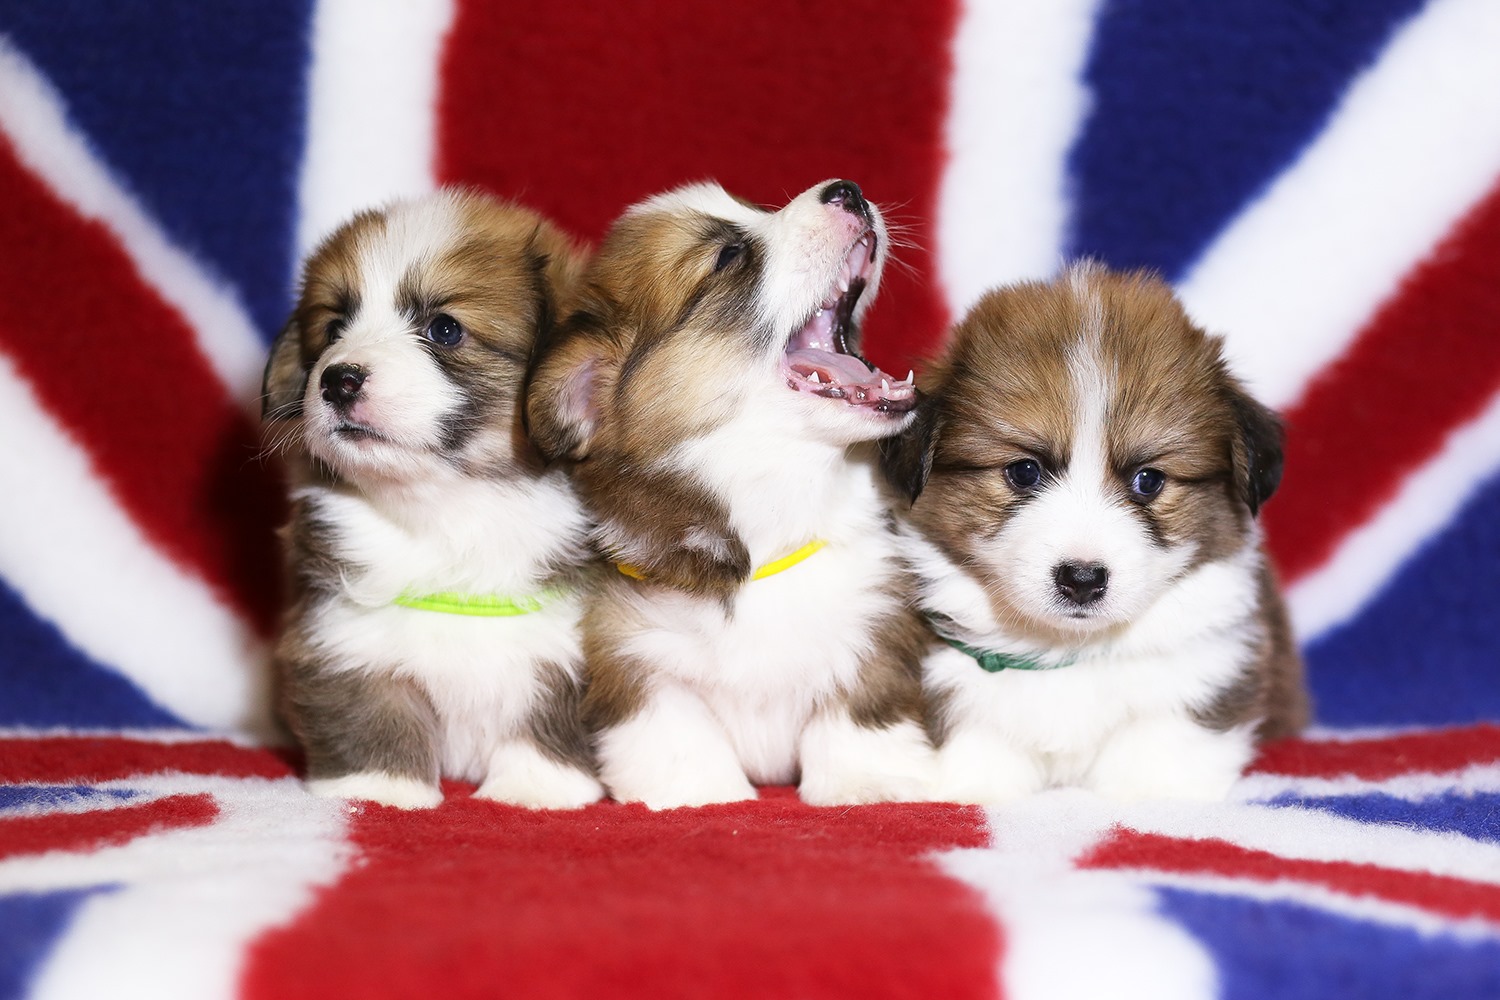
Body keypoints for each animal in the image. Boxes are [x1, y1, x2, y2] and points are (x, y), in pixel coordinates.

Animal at [261, 189, 604, 810]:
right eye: (334, 328)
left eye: (444, 329)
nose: (338, 379)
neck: (446, 512)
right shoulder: (343, 636)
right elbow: (373, 711)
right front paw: (380, 789)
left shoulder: (564, 644)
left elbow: (545, 714)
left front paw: (535, 790)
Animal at [525, 179, 936, 808]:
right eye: (728, 257)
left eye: (761, 210)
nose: (847, 189)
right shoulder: (631, 656)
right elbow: (680, 736)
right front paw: (704, 796)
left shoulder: (878, 623)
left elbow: (858, 711)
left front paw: (868, 786)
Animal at [880, 263, 1307, 803]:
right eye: (1024, 471)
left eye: (1148, 480)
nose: (1082, 579)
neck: (1071, 648)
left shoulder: (1208, 669)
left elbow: (1163, 746)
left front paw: (1153, 787)